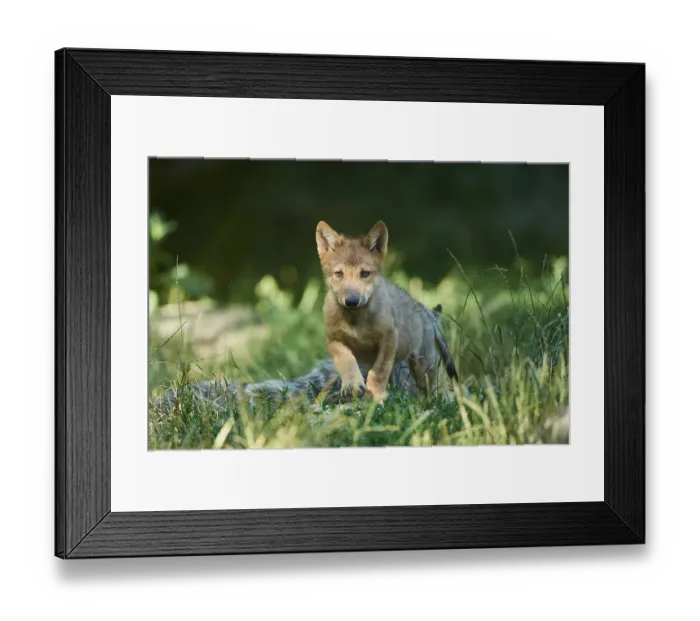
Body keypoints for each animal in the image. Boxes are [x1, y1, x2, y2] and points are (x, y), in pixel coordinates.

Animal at [316, 220, 457, 403]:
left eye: (365, 273)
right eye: (339, 274)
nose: (352, 301)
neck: (356, 320)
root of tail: (427, 313)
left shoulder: (389, 338)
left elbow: (379, 373)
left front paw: (376, 396)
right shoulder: (333, 339)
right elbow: (346, 360)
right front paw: (352, 385)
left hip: (423, 367)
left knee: (440, 390)